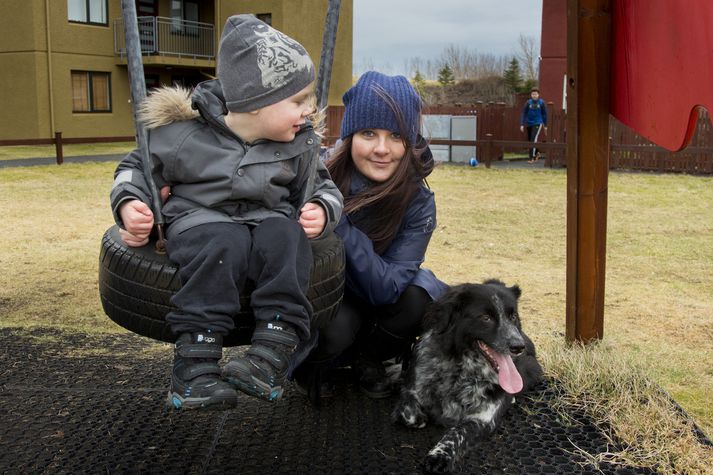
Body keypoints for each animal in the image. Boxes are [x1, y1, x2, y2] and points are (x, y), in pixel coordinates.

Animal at [392, 280, 544, 474]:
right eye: (485, 318)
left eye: (513, 317)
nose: (518, 346)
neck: (460, 372)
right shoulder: (412, 387)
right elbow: (409, 412)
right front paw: (419, 418)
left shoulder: (483, 418)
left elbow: (456, 433)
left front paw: (439, 455)